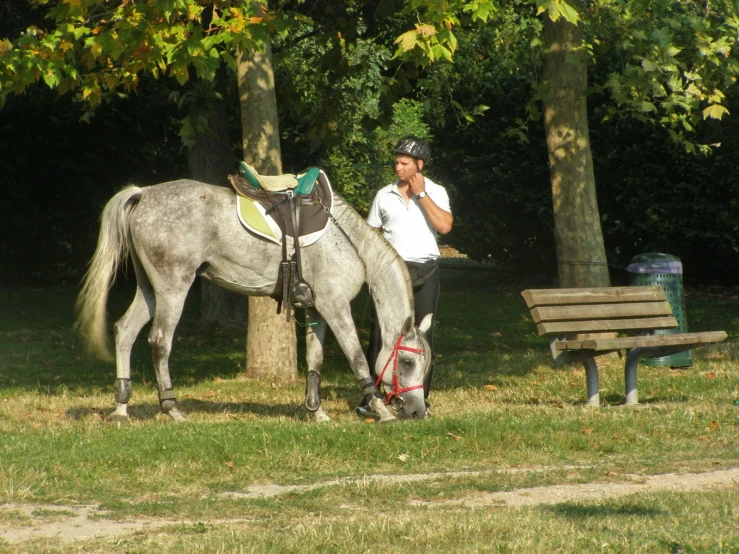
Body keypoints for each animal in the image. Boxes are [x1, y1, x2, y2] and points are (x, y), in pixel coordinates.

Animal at [73, 179, 434, 420]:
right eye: (407, 362)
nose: (418, 411)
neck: (347, 241)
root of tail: (144, 193)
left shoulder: (316, 309)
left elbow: (314, 361)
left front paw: (316, 412)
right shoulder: (335, 307)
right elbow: (357, 357)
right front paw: (379, 409)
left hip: (149, 290)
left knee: (125, 331)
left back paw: (121, 407)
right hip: (173, 288)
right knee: (160, 341)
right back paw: (172, 408)